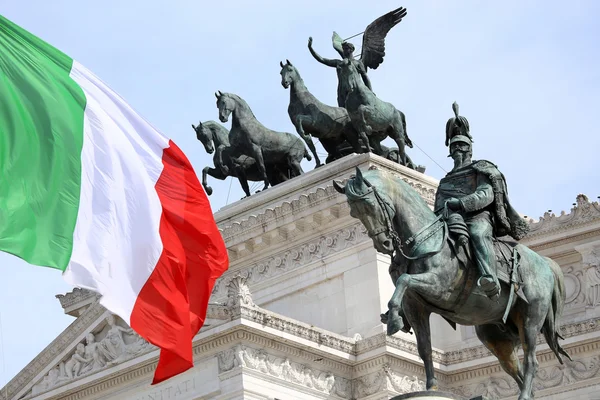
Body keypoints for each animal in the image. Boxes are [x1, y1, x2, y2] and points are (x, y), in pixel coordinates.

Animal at [332, 167, 572, 400]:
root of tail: (545, 262)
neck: (425, 238)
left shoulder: (440, 287)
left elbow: (404, 279)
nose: (383, 244)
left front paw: (394, 321)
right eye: (354, 212)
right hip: (496, 335)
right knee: (516, 370)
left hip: (531, 317)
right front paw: (431, 385)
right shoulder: (415, 306)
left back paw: (523, 394)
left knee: (532, 360)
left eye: (369, 205)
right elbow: (424, 348)